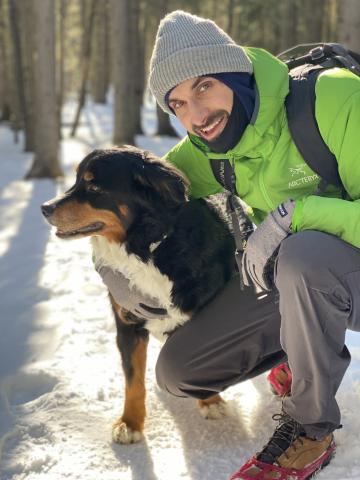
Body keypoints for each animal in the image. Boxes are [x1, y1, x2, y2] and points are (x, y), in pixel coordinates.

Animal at [40, 145, 238, 442]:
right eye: (75, 181)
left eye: (94, 186)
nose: (45, 207)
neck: (148, 248)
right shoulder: (127, 322)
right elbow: (133, 381)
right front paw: (130, 423)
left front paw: (210, 401)